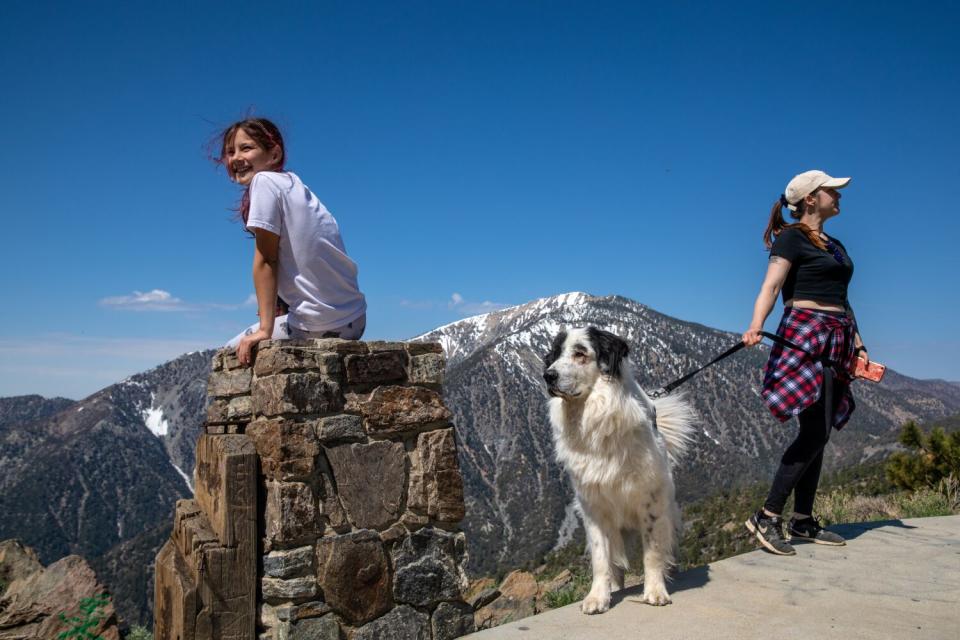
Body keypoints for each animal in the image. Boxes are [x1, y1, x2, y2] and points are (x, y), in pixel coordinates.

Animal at [544, 328, 692, 612]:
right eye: (555, 354)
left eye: (580, 353)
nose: (548, 375)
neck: (595, 416)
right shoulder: (593, 507)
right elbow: (601, 558)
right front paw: (597, 597)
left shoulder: (651, 501)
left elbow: (652, 553)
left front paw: (655, 591)